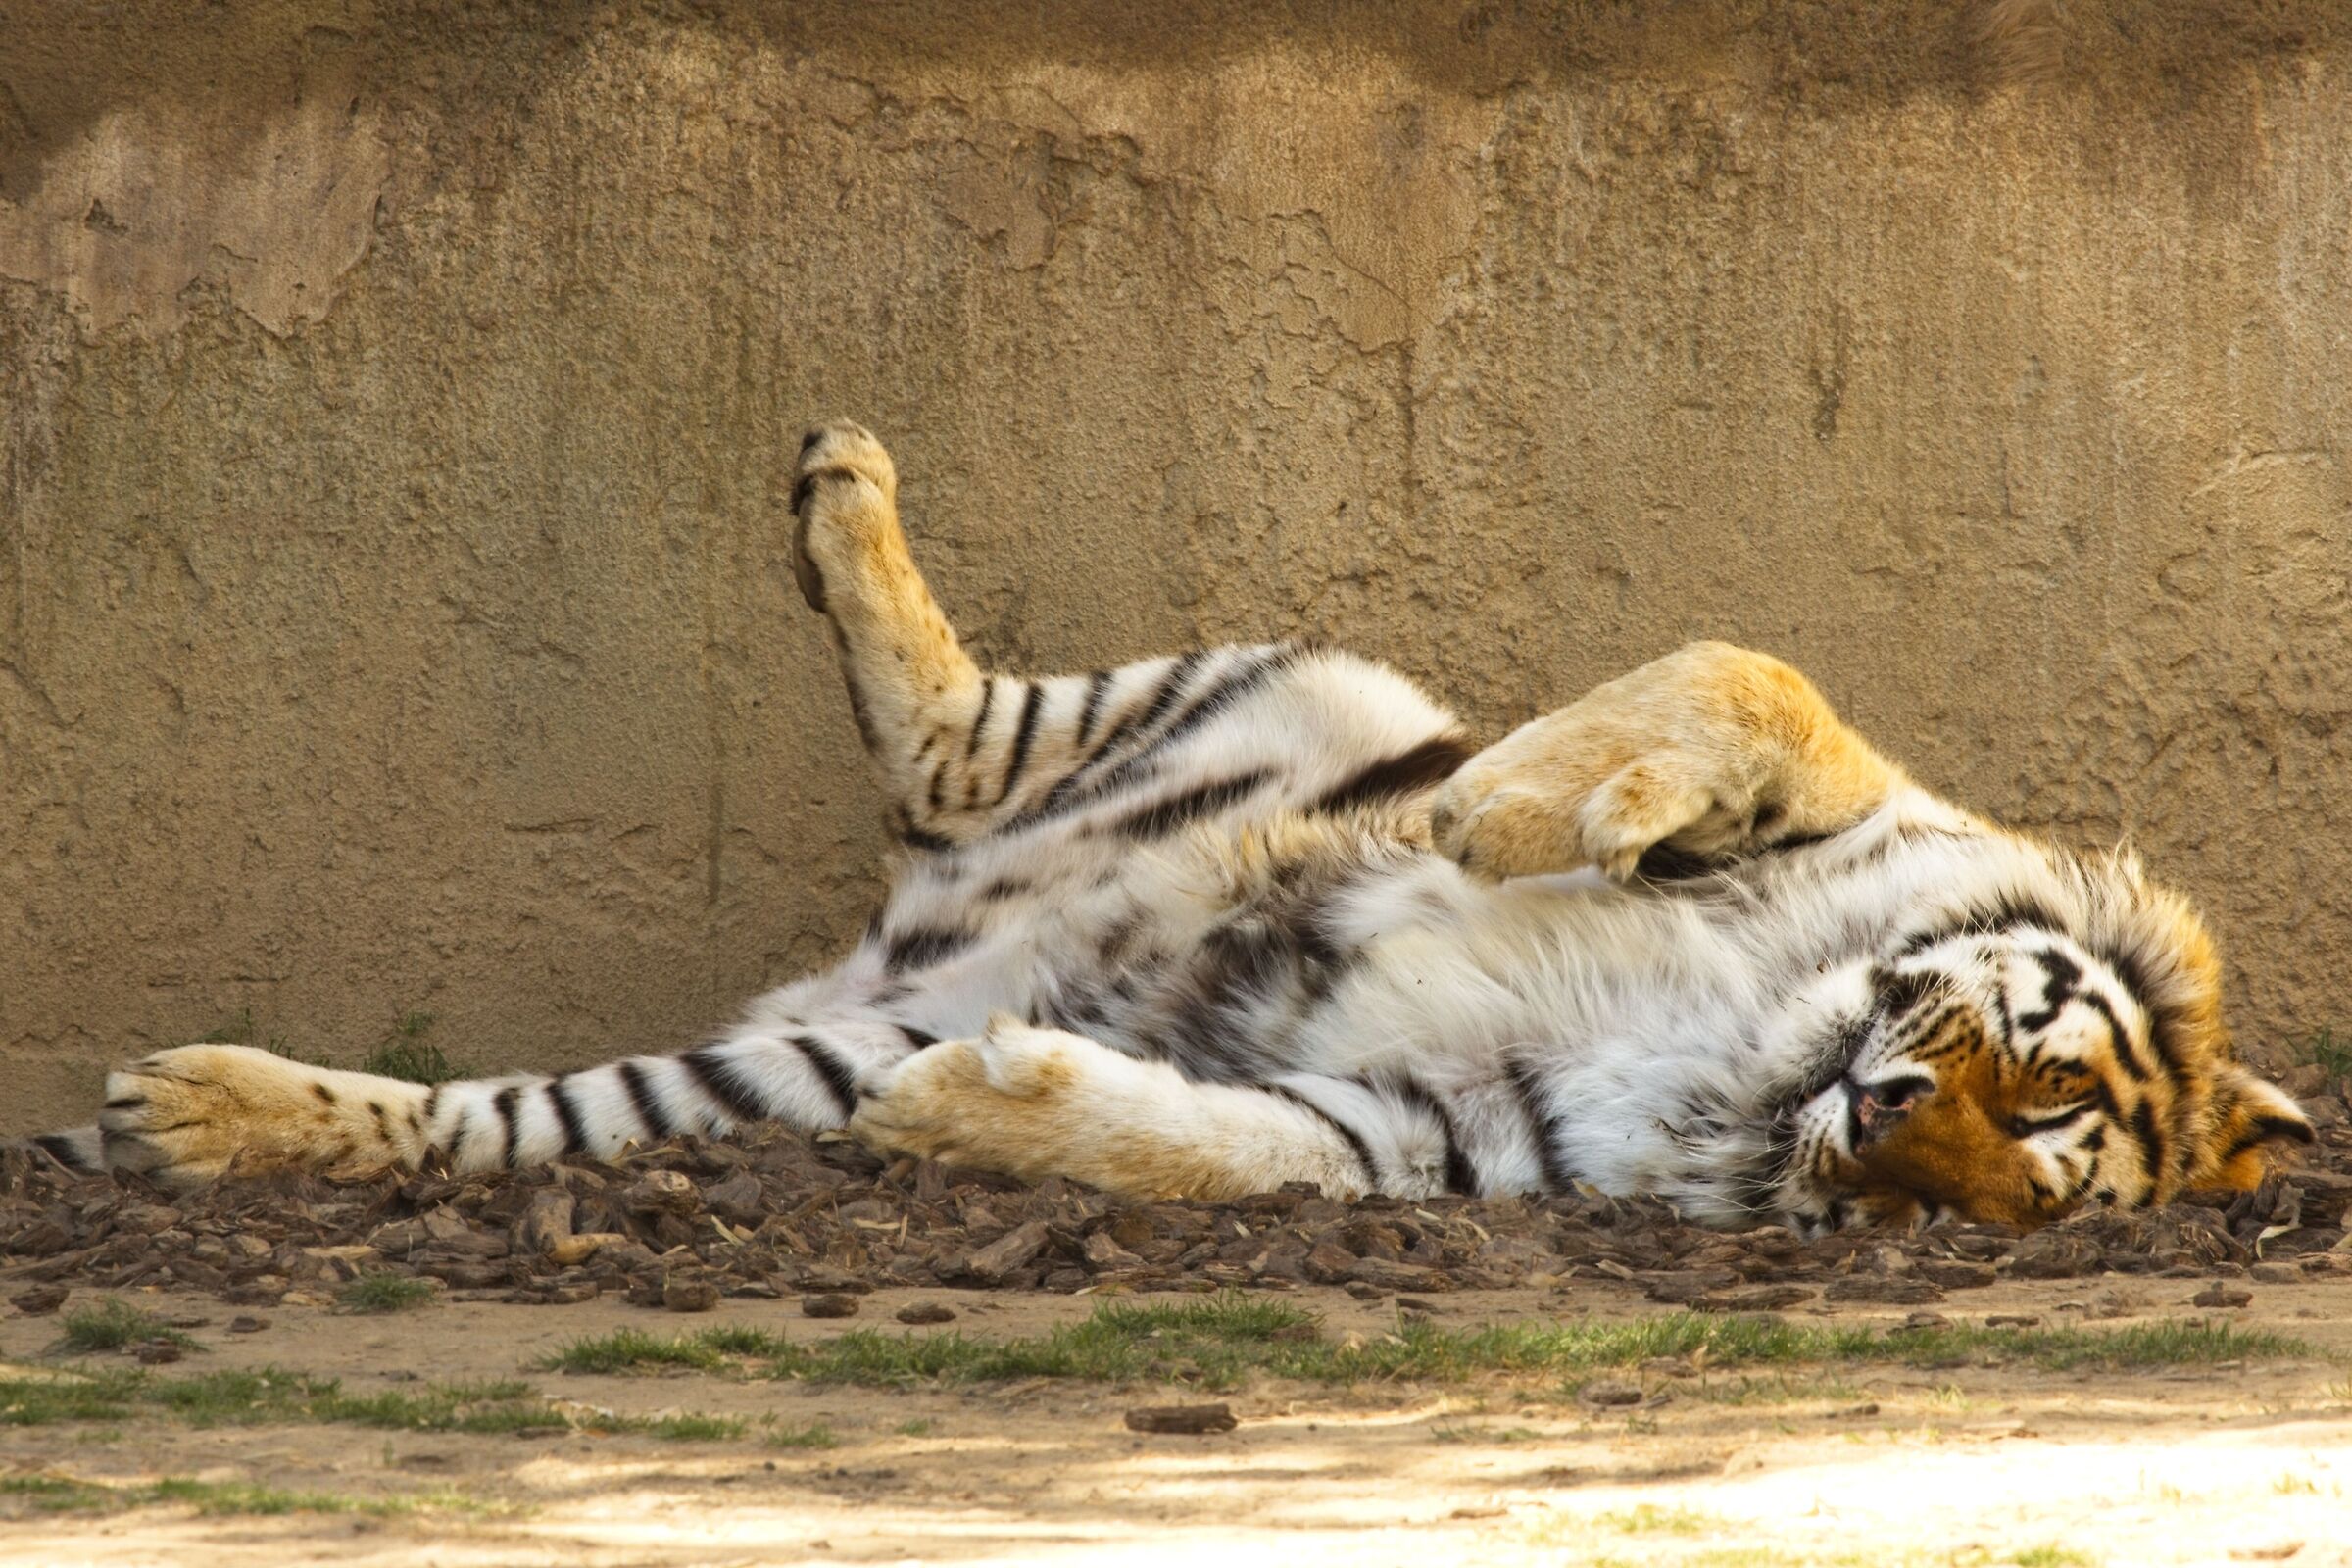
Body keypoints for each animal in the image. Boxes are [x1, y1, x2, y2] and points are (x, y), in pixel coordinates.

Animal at [32, 421, 2313, 1235]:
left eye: (1995, 1187)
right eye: (2037, 1087)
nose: (1877, 1120)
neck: (1767, 1053)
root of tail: (924, 924)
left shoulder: (1453, 1126)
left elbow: (1234, 1143)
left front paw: (982, 1111)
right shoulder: (1870, 805)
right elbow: (1748, 684)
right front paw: (1523, 809)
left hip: (773, 1057)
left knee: (488, 1116)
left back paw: (200, 1114)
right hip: (1302, 685)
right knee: (955, 738)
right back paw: (837, 486)